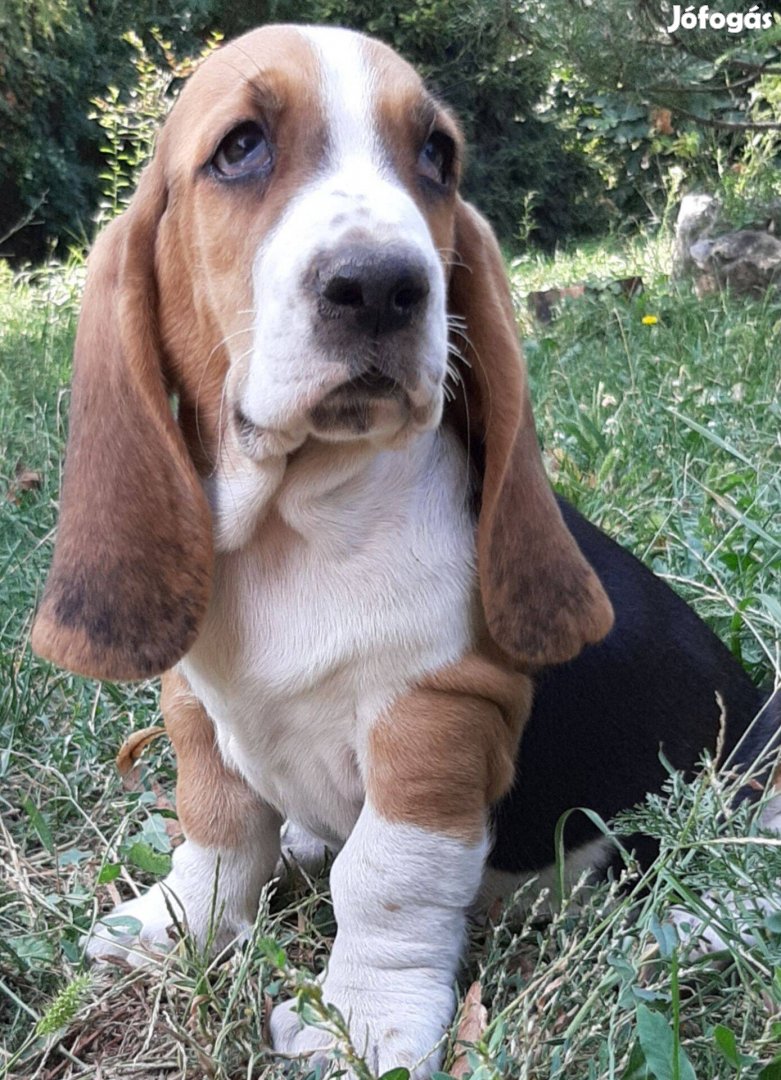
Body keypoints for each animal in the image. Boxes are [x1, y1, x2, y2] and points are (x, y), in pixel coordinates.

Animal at [32, 21, 777, 1075]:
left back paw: (703, 919)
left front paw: (363, 1025)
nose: (383, 285)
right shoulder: (193, 701)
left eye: (436, 158)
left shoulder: (437, 719)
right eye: (240, 147)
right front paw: (175, 927)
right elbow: (217, 832)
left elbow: (384, 880)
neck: (295, 526)